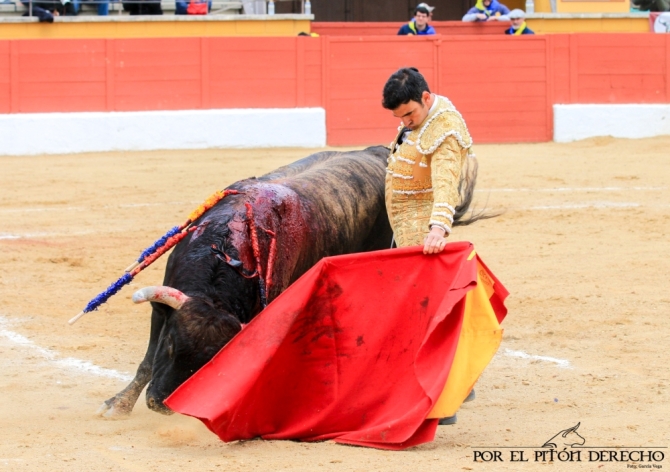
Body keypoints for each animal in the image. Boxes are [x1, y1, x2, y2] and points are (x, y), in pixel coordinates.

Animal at [98, 145, 478, 416]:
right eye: (171, 344)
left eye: (208, 361)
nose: (162, 404)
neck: (226, 249)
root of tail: (380, 152)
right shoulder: (161, 311)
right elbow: (147, 361)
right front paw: (118, 405)